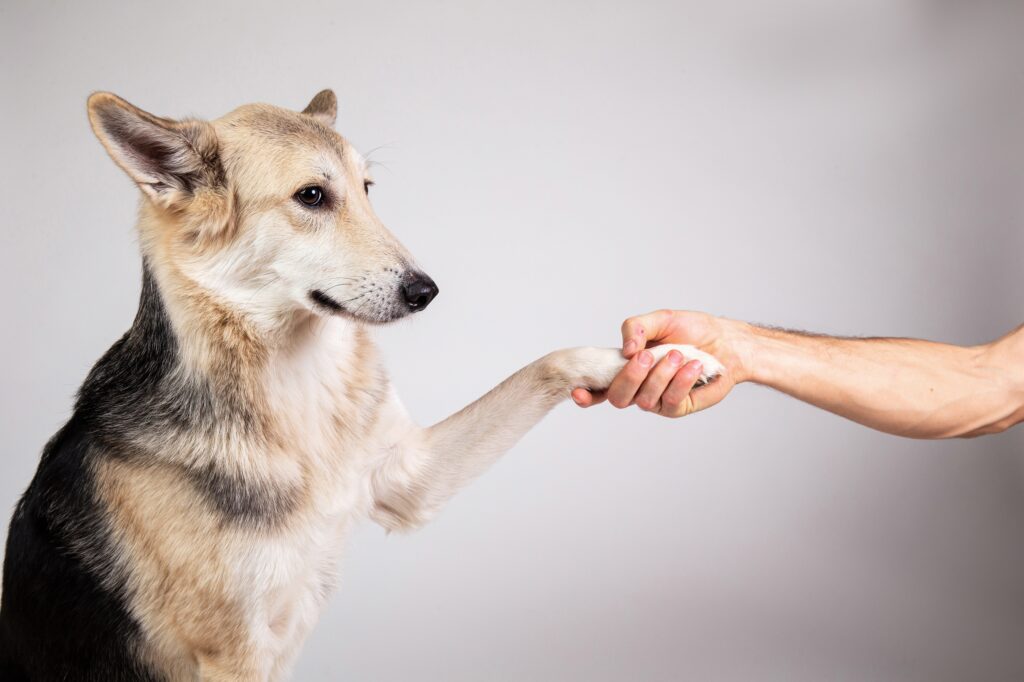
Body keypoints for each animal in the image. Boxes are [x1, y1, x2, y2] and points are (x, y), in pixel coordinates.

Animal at [0, 90, 720, 679]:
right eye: (312, 197)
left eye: (368, 188)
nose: (427, 292)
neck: (297, 385)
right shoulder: (232, 655)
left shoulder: (413, 478)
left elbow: (547, 361)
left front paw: (666, 354)